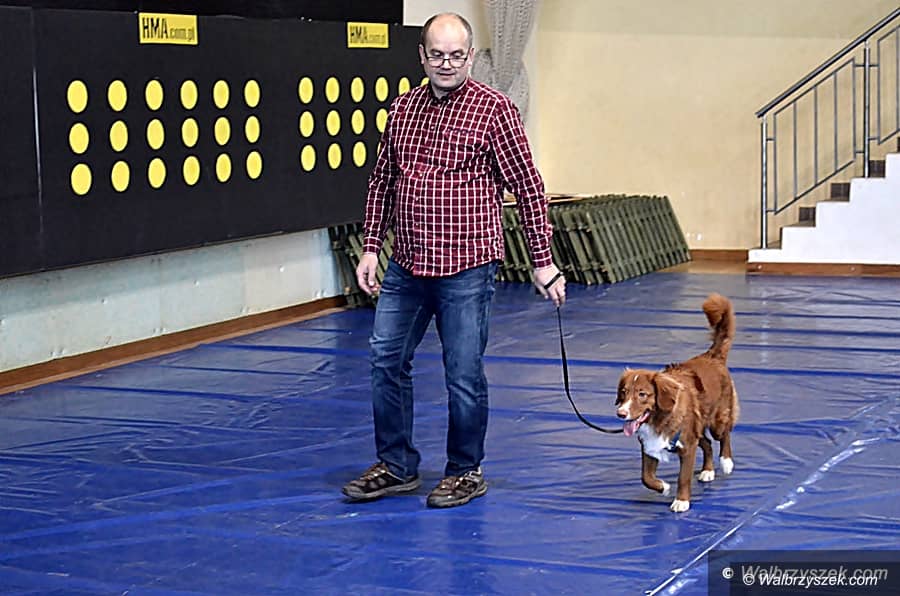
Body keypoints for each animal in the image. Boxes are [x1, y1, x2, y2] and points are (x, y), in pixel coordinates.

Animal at [614, 293, 739, 513]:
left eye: (642, 394)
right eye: (623, 392)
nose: (621, 413)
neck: (660, 418)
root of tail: (712, 356)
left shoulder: (687, 447)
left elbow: (683, 477)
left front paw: (681, 501)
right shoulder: (649, 446)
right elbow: (646, 477)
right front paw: (663, 487)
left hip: (716, 421)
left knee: (724, 436)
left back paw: (726, 462)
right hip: (697, 428)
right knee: (708, 444)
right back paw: (708, 471)